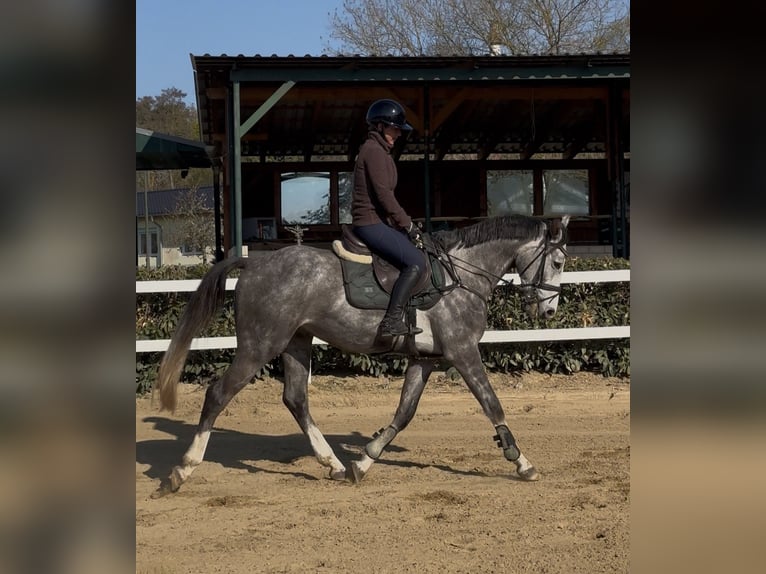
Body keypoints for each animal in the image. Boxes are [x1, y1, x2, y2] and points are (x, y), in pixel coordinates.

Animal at [153, 214, 570, 495]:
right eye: (559, 262)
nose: (549, 311)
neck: (462, 276)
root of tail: (255, 261)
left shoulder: (425, 360)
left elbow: (404, 413)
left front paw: (365, 460)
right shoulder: (463, 352)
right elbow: (492, 404)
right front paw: (522, 462)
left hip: (296, 342)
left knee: (296, 399)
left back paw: (334, 465)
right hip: (260, 345)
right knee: (218, 394)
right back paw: (182, 470)